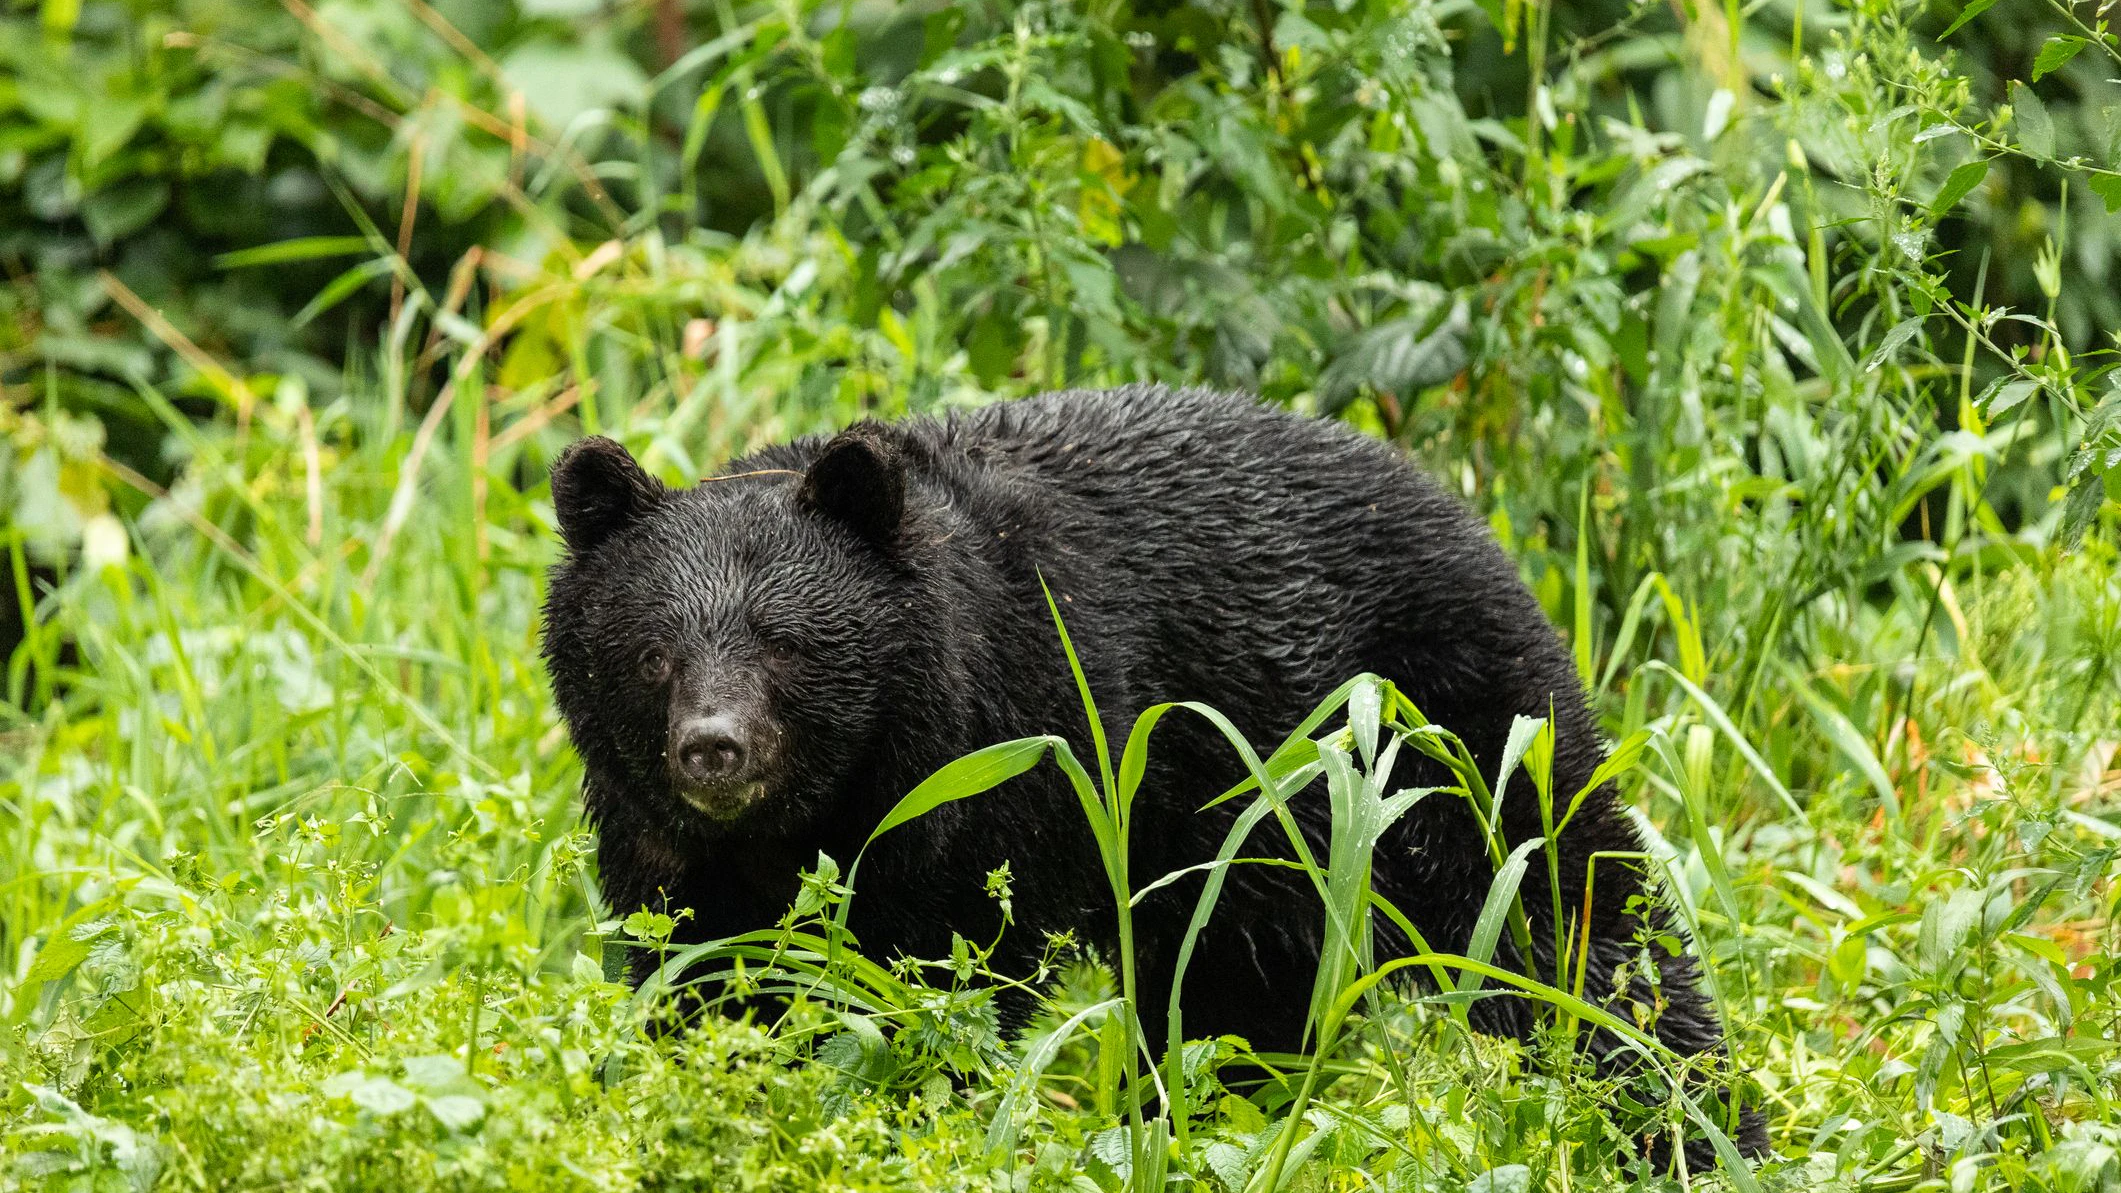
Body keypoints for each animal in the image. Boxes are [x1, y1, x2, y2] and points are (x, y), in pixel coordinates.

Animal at [540, 384, 1766, 1163]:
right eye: (651, 652)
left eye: (785, 644)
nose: (713, 748)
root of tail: (1468, 513)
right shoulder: (669, 848)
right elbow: (696, 972)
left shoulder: (1010, 760)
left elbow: (948, 972)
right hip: (1259, 842)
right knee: (1235, 995)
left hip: (1447, 727)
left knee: (1574, 912)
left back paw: (1697, 1129)